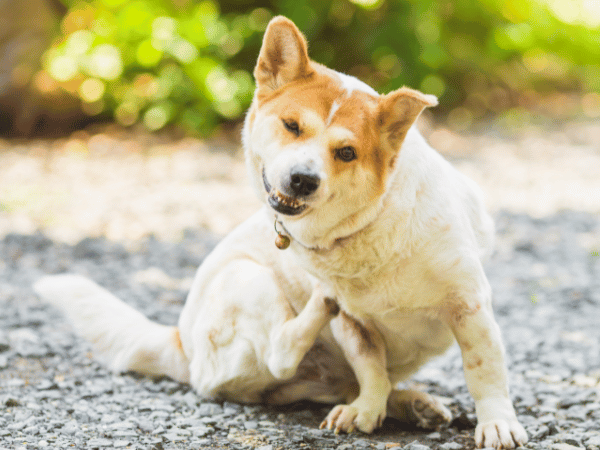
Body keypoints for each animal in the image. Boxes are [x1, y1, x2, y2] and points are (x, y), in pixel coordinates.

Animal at [35, 15, 528, 448]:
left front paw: (496, 424)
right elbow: (370, 367)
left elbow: (483, 369)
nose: (302, 180)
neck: (370, 225)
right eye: (292, 126)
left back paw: (411, 404)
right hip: (247, 278)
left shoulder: (469, 306)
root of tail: (180, 343)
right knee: (282, 352)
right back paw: (333, 326)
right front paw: (367, 409)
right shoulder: (354, 325)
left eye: (346, 152)